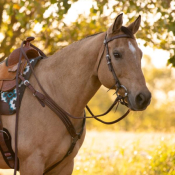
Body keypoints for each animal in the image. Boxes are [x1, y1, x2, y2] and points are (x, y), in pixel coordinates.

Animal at [0, 14, 150, 175]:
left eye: (140, 54)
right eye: (117, 54)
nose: (143, 98)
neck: (54, 93)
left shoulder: (65, 165)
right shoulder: (31, 163)